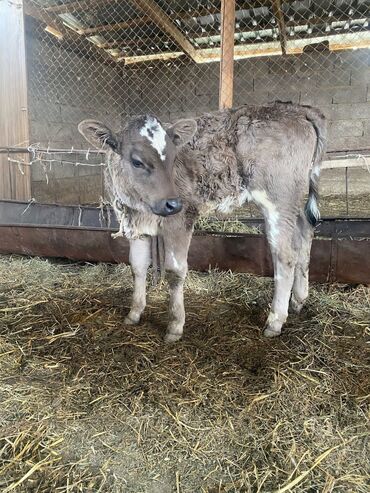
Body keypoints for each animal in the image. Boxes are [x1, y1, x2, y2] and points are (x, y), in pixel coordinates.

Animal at [79, 103, 326, 342]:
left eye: (173, 159)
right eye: (137, 161)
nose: (172, 203)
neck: (139, 206)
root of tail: (297, 109)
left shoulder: (181, 218)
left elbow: (175, 271)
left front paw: (175, 326)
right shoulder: (136, 224)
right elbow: (137, 266)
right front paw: (134, 313)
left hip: (278, 198)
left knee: (285, 256)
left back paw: (275, 321)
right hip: (292, 201)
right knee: (304, 231)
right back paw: (298, 300)